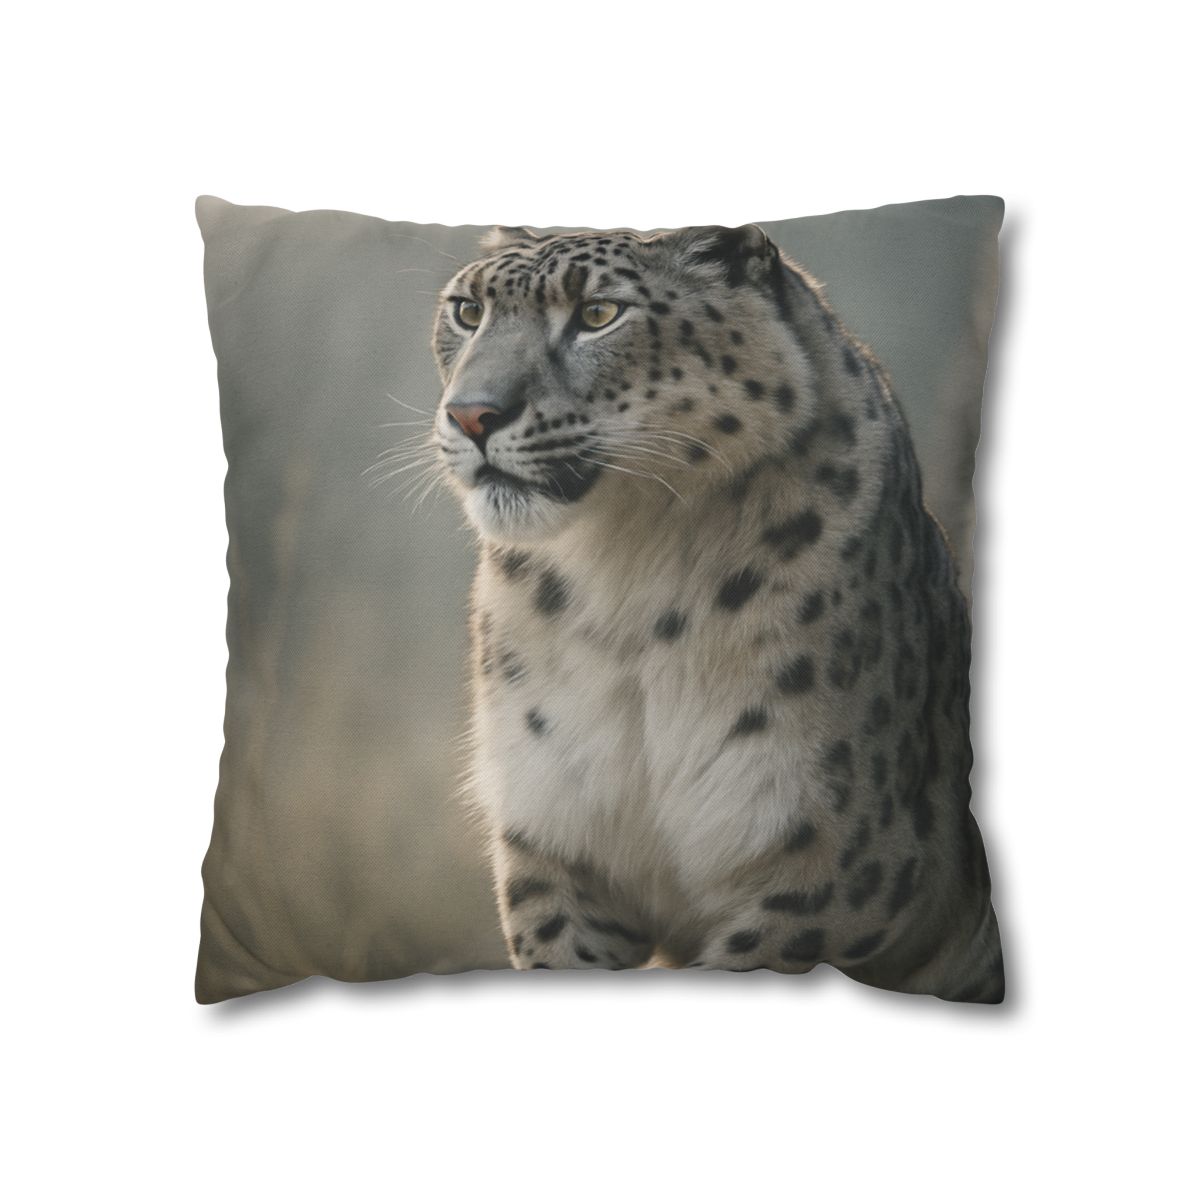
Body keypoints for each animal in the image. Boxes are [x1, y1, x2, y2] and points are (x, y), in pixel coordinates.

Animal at [427, 222, 1003, 1002]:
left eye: (599, 314)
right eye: (467, 311)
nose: (472, 414)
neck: (623, 576)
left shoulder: (831, 873)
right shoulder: (555, 840)